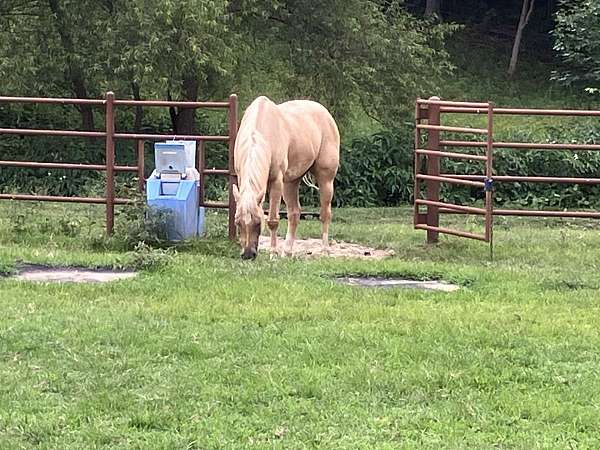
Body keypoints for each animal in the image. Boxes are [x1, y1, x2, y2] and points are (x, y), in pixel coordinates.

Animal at [232, 95, 340, 260]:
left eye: (258, 223)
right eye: (238, 223)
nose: (248, 255)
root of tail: (326, 114)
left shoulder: (276, 181)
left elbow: (273, 220)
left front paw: (273, 253)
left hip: (326, 179)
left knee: (325, 214)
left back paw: (325, 250)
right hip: (291, 182)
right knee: (294, 213)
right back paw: (287, 251)